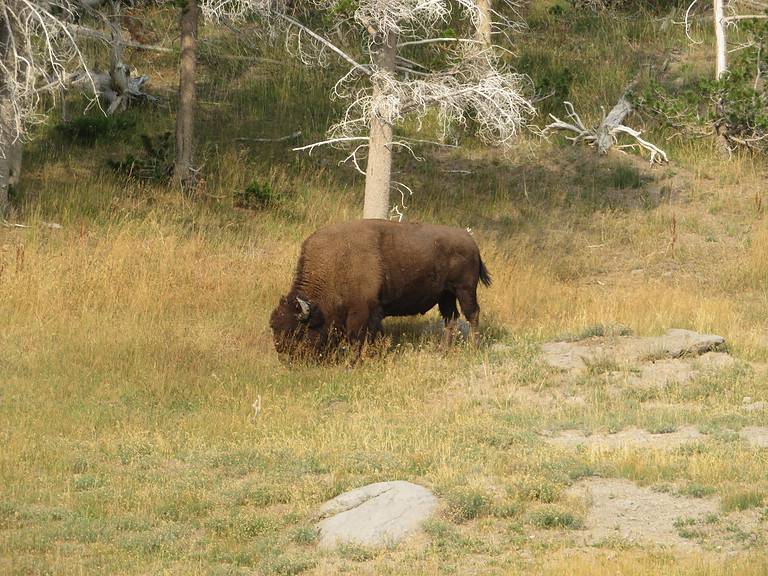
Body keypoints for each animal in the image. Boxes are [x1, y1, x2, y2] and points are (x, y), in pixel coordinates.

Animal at [270, 219, 492, 358]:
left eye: (297, 332)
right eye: (275, 327)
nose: (283, 355)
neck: (334, 264)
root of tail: (470, 240)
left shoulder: (362, 312)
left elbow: (358, 337)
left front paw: (354, 362)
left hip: (464, 290)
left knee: (472, 314)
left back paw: (474, 348)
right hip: (445, 295)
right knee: (451, 318)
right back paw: (442, 350)